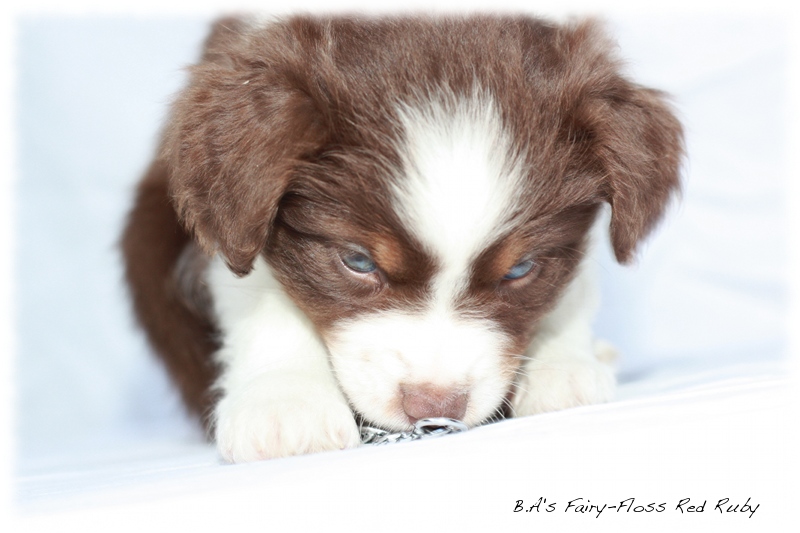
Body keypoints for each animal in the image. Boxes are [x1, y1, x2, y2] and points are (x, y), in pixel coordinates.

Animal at [122, 13, 684, 462]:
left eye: (521, 270)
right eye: (358, 262)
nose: (434, 407)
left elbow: (571, 289)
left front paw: (563, 366)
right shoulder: (238, 220)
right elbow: (263, 294)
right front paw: (285, 404)